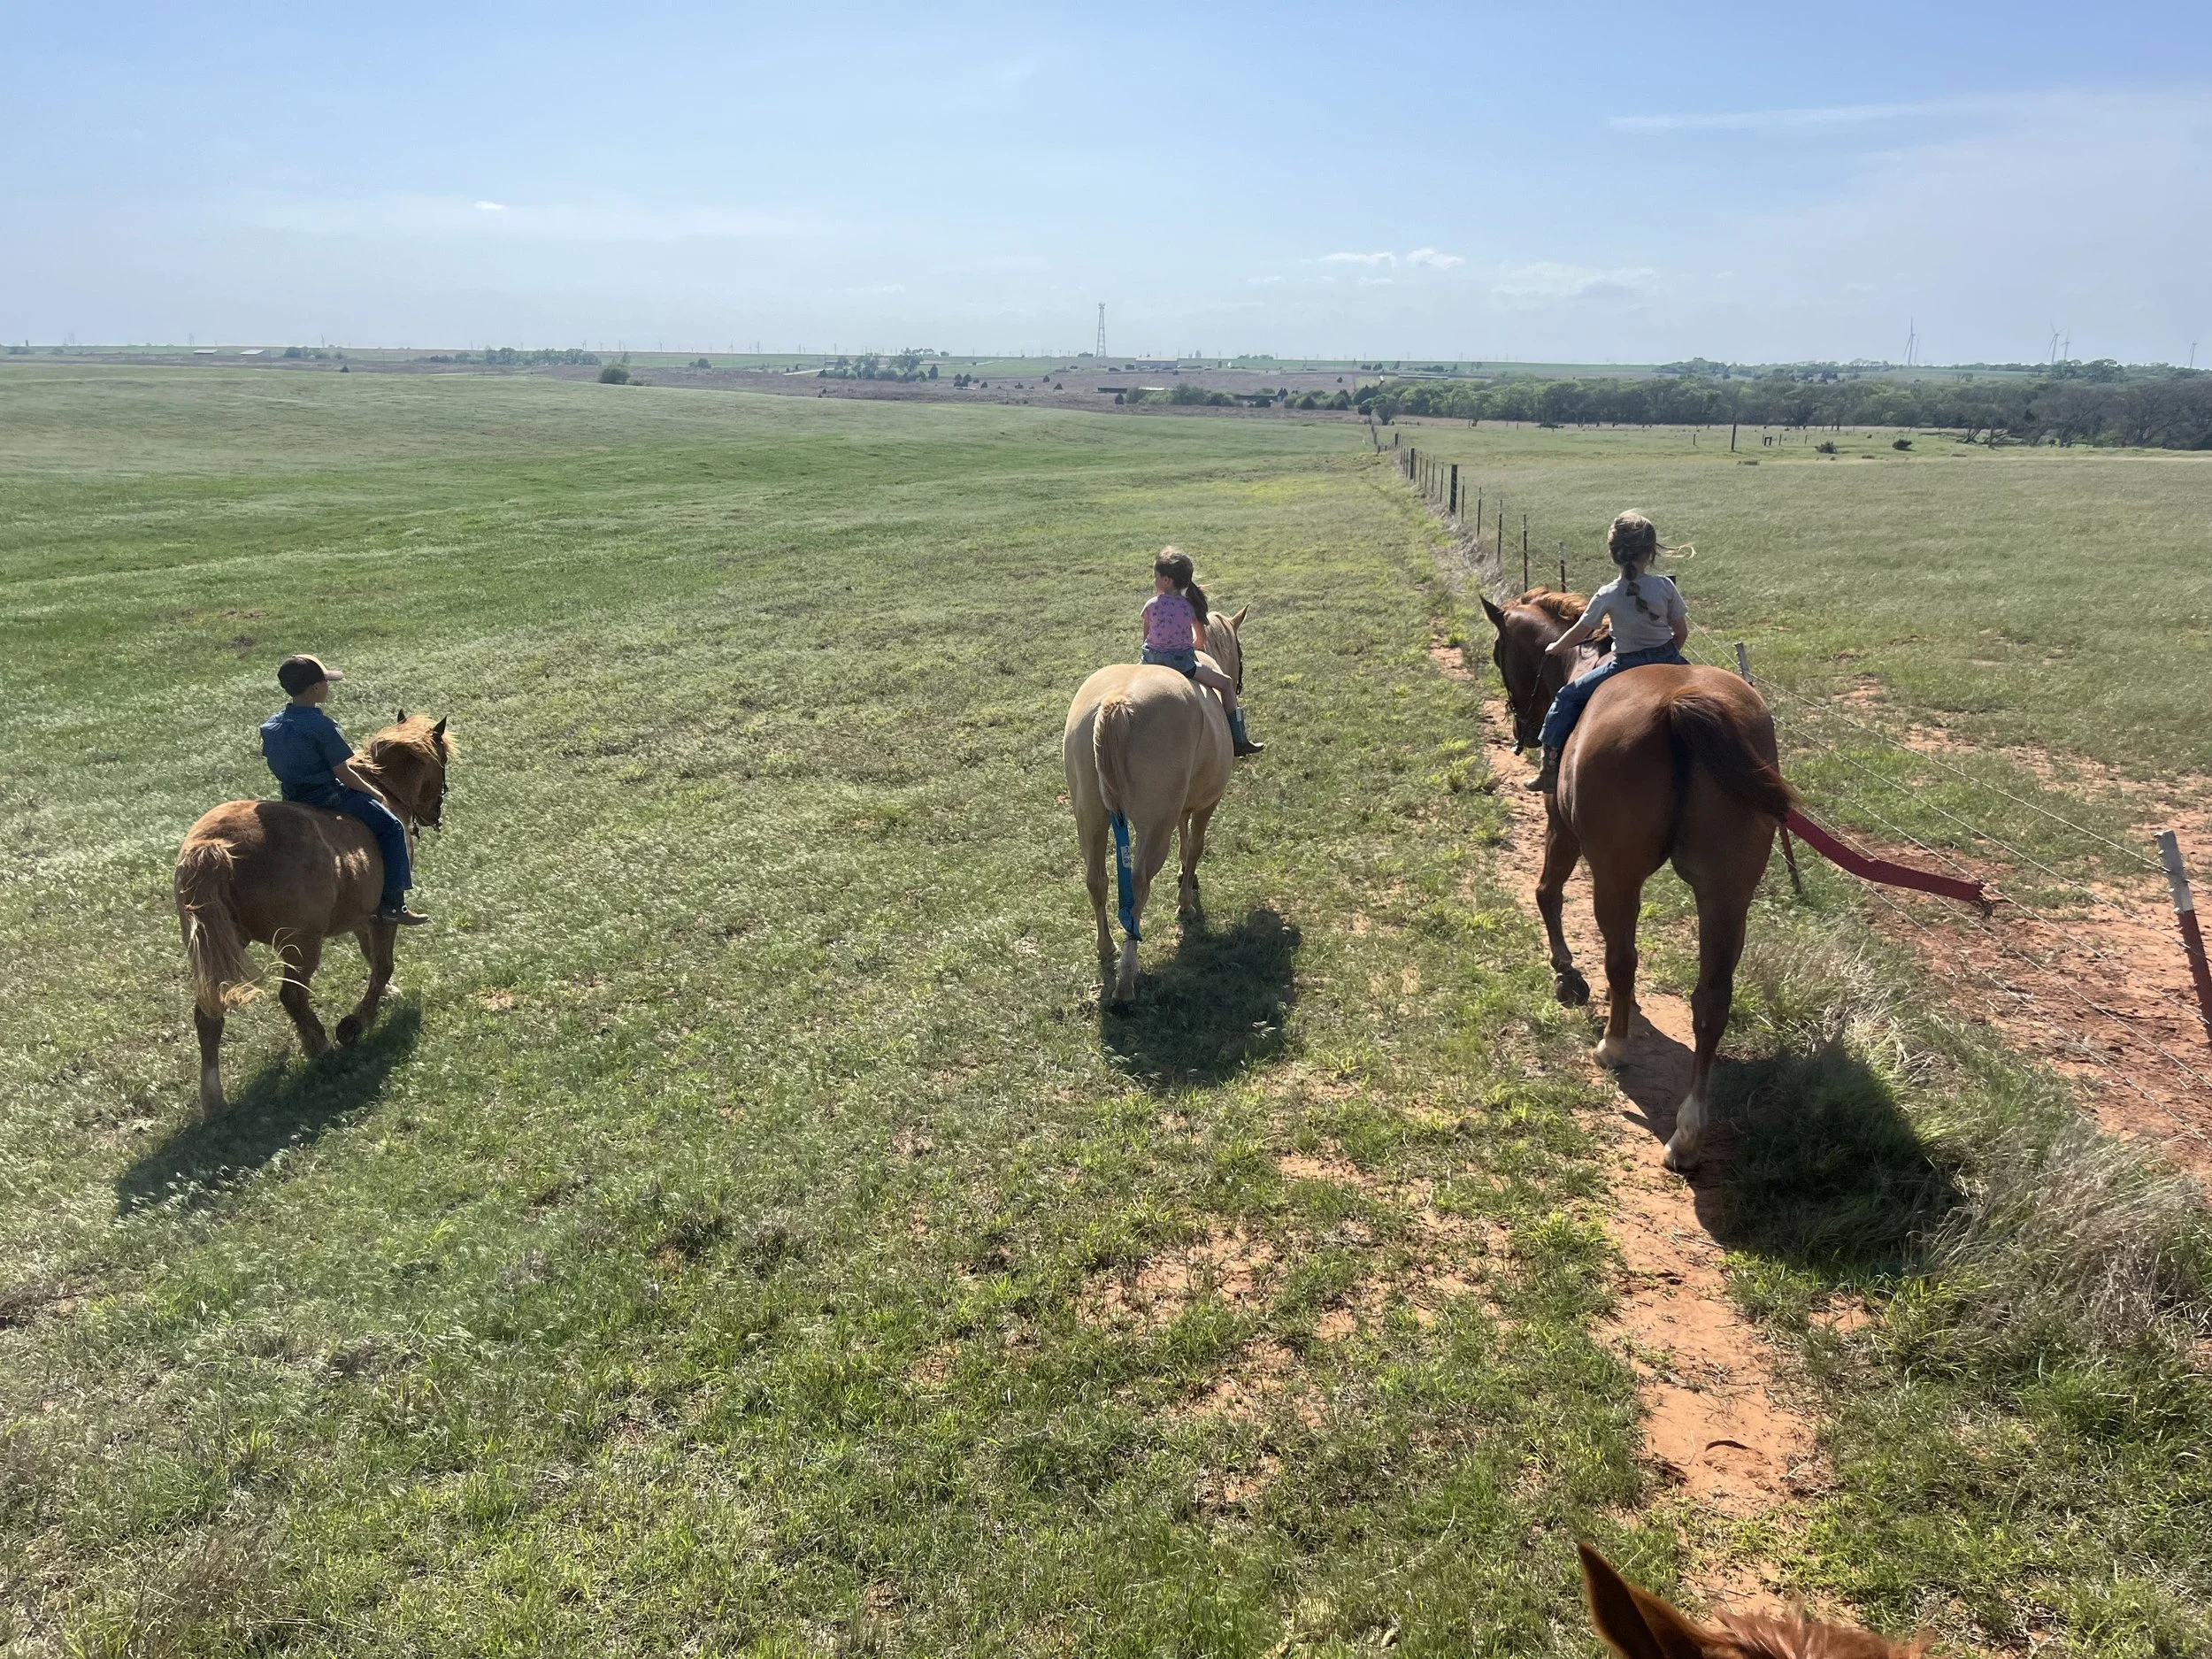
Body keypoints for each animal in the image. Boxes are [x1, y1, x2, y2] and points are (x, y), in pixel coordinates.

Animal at [173, 713, 453, 1115]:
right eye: (442, 760)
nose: (436, 813)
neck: (383, 792)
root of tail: (214, 844)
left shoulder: (362, 915)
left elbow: (372, 958)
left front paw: (385, 995)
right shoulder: (383, 913)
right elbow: (383, 963)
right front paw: (355, 1023)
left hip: (218, 946)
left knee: (208, 1013)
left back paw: (214, 1099)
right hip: (301, 944)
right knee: (291, 995)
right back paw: (319, 1045)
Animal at [1064, 606, 1247, 1004]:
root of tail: (1116, 702)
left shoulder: (1180, 805)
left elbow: (1184, 834)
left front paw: (1185, 879)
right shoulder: (1208, 802)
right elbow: (1195, 846)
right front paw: (1186, 901)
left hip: (1091, 818)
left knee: (1096, 880)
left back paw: (1106, 948)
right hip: (1151, 828)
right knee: (1137, 888)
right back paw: (1125, 982)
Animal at [1482, 593, 1792, 1172]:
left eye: (1497, 654)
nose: (1522, 730)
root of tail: (1685, 705)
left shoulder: (1561, 827)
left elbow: (1546, 893)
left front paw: (1566, 972)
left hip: (1616, 874)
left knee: (1622, 958)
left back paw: (1613, 1046)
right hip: (1727, 894)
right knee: (1712, 999)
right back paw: (1688, 1134)